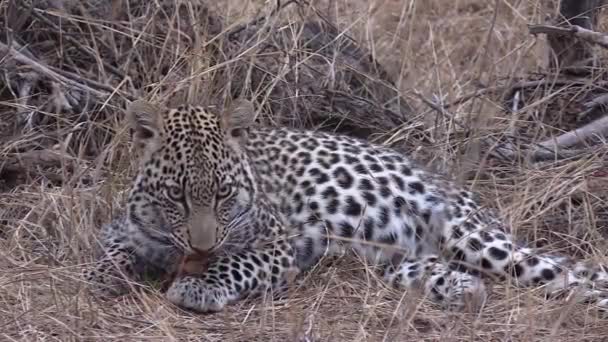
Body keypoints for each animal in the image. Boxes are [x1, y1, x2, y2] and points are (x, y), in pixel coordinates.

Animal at [84, 97, 608, 314]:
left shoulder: (279, 244)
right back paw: (462, 291)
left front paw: (198, 285)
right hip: (399, 261)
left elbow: (237, 261)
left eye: (225, 195)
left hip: (474, 237)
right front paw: (101, 279)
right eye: (176, 195)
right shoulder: (125, 229)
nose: (201, 247)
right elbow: (107, 253)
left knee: (571, 274)